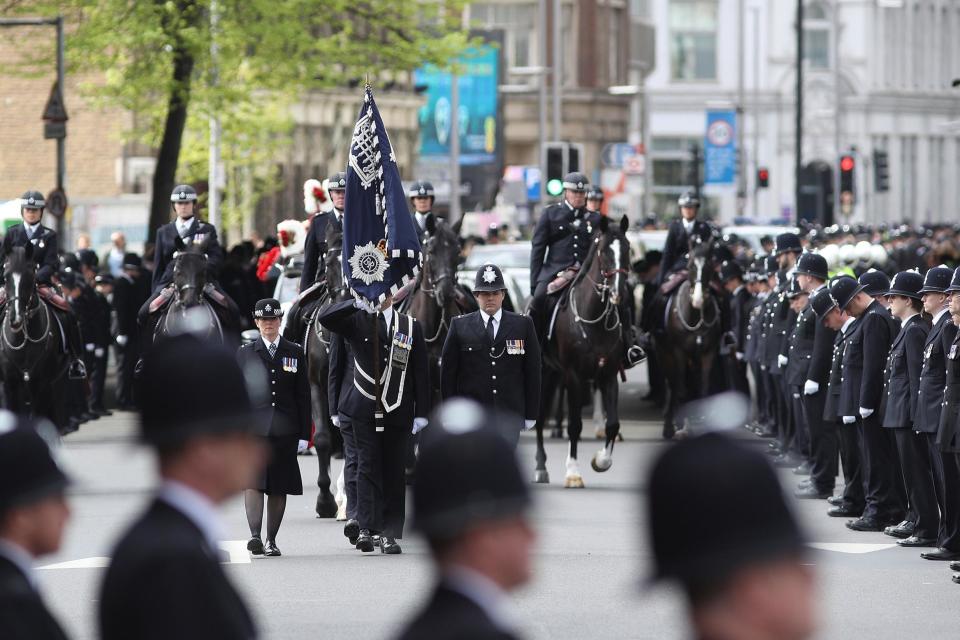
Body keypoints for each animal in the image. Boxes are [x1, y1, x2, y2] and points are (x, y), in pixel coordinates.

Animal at [532, 218, 632, 488]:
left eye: (627, 249)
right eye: (605, 252)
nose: (619, 293)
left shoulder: (608, 374)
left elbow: (612, 424)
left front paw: (601, 461)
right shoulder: (574, 376)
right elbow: (575, 425)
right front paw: (573, 473)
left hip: (555, 374)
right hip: (544, 373)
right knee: (538, 417)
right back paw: (540, 467)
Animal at [656, 236, 724, 440]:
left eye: (710, 265)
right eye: (691, 265)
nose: (698, 300)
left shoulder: (708, 352)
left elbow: (703, 390)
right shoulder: (679, 352)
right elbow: (681, 390)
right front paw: (684, 428)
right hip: (664, 353)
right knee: (673, 384)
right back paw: (670, 426)